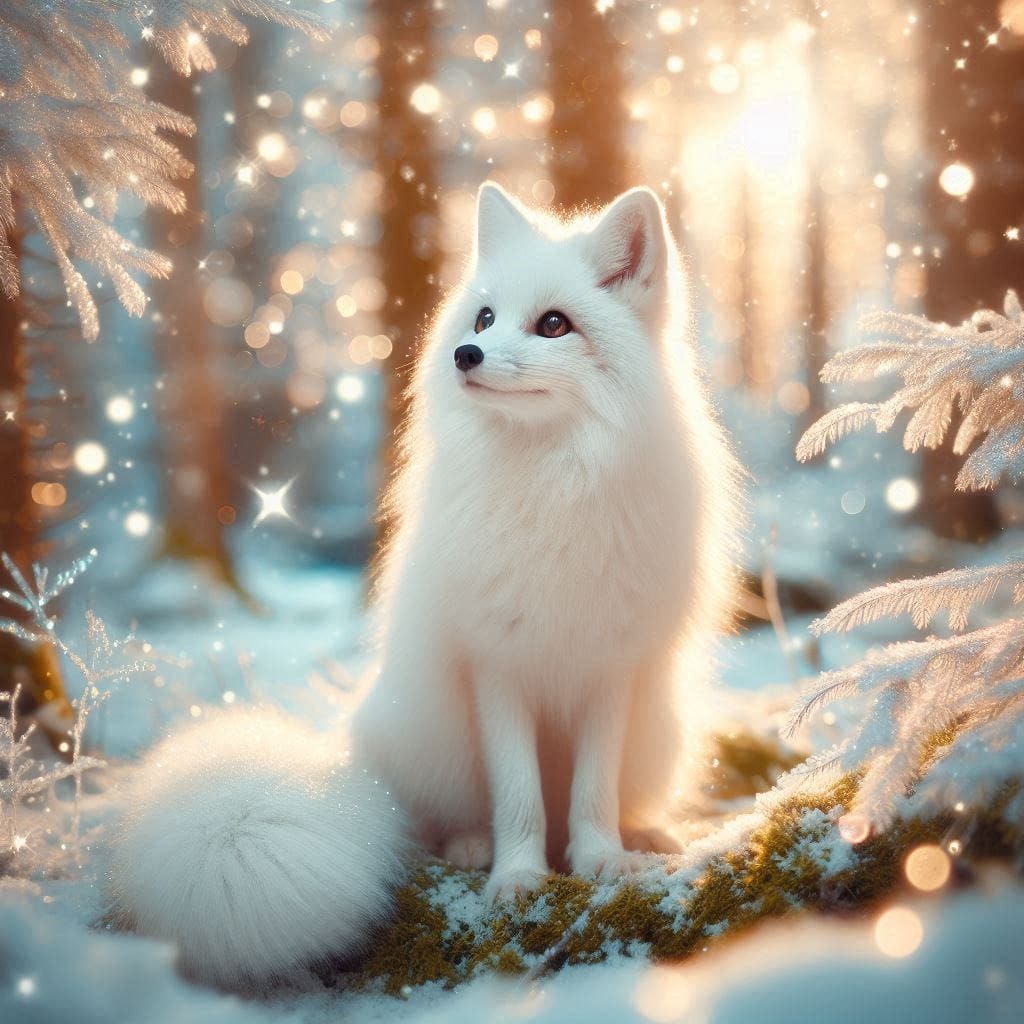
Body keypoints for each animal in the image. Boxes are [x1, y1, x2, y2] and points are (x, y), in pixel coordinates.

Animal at [110, 182, 740, 989]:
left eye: (554, 324)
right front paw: (519, 876)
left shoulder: (611, 665)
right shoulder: (496, 664)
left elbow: (592, 794)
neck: (550, 486)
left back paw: (646, 831)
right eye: (484, 318)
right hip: (436, 740)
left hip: (660, 733)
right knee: (431, 823)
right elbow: (520, 799)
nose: (465, 354)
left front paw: (602, 859)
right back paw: (471, 845)